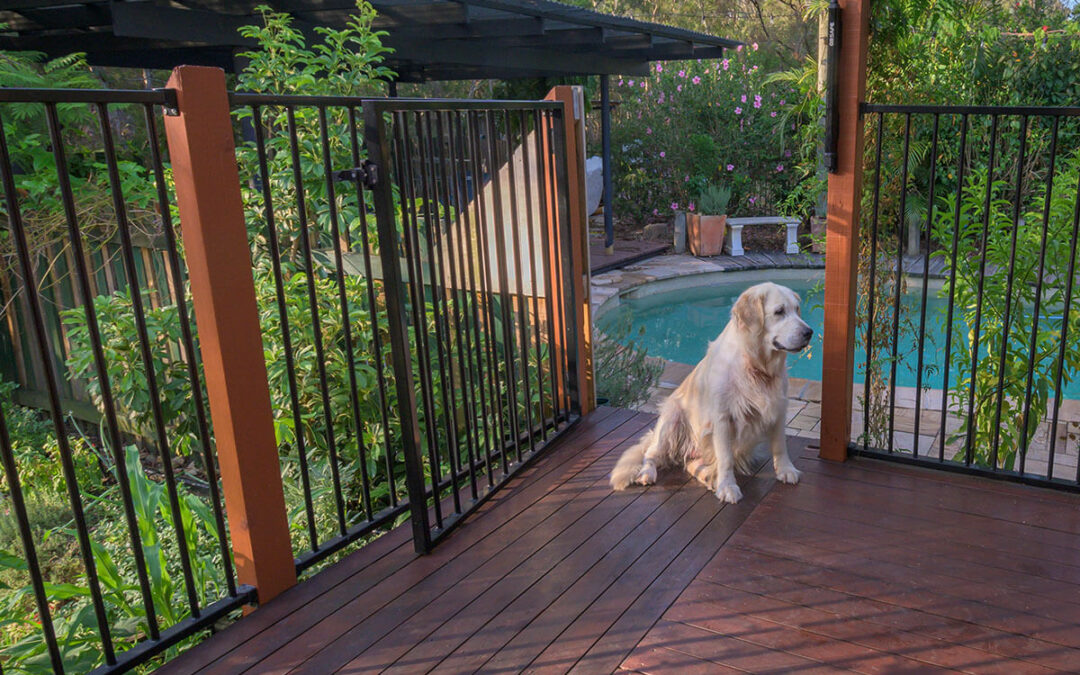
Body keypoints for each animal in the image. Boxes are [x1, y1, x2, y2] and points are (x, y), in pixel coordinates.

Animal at [613, 280, 812, 503]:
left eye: (797, 309)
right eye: (779, 311)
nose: (809, 332)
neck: (756, 365)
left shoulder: (778, 407)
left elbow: (780, 445)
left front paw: (786, 470)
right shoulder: (722, 418)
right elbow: (725, 458)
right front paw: (727, 487)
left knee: (691, 465)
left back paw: (707, 476)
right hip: (671, 420)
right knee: (651, 453)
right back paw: (648, 473)